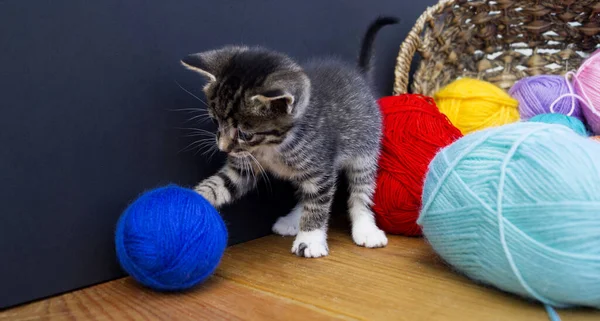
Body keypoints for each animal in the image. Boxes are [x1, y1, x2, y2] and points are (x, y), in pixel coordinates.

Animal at [182, 17, 398, 258]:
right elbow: (220, 184)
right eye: (215, 122)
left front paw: (310, 239)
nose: (223, 148)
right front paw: (188, 200)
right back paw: (293, 220)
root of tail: (359, 75)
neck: (270, 146)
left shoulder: (320, 167)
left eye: (245, 134)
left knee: (360, 189)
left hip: (366, 148)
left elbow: (318, 203)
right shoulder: (242, 167)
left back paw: (365, 228)